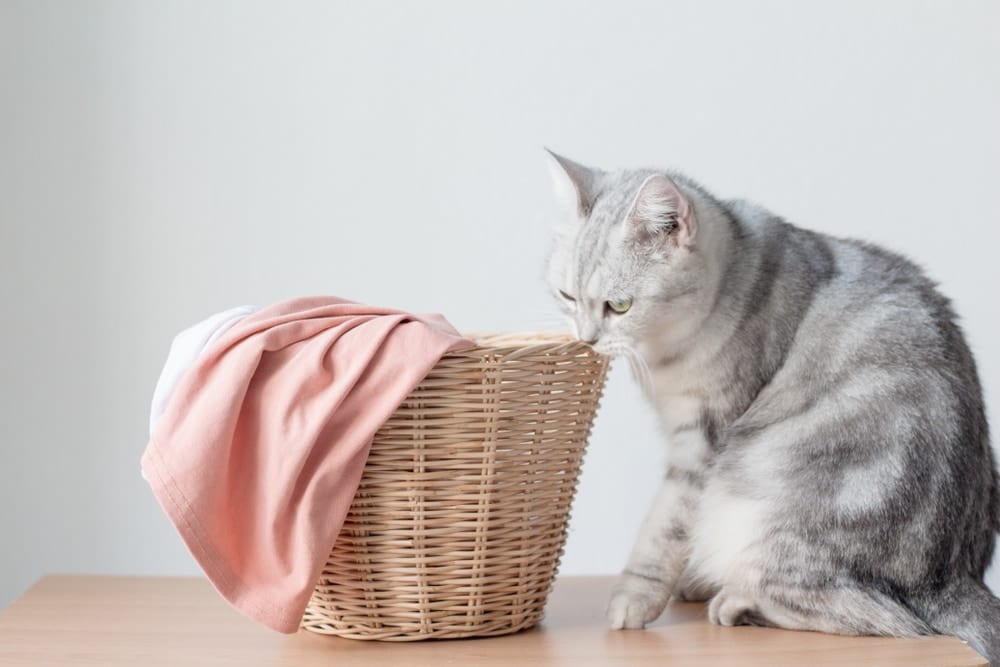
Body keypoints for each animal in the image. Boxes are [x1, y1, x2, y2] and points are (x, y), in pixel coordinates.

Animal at [548, 150, 1000, 664]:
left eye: (619, 305)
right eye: (567, 296)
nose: (586, 339)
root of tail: (957, 576)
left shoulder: (704, 441)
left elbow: (663, 528)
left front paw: (633, 597)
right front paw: (688, 582)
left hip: (774, 514)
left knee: (882, 618)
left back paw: (734, 603)